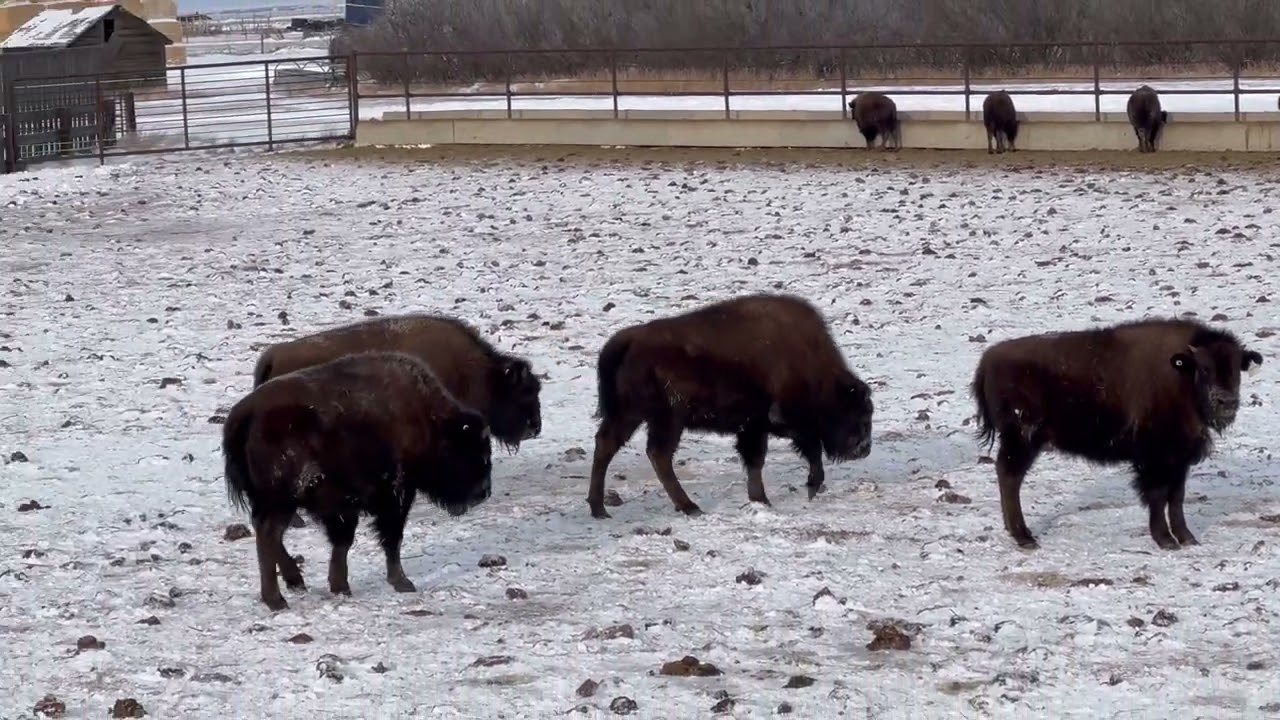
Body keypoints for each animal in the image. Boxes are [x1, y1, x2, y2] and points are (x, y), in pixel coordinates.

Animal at [222, 351, 494, 611]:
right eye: (473, 452)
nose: (484, 492)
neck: (428, 420)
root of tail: (244, 414)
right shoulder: (396, 496)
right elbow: (391, 540)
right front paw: (402, 582)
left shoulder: (343, 505)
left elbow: (343, 542)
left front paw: (340, 586)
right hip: (281, 500)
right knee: (269, 535)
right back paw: (276, 600)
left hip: (272, 501)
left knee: (268, 534)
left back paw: (294, 582)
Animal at [586, 294, 874, 519]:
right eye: (857, 413)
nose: (863, 448)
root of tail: (629, 340)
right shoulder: (777, 424)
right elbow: (802, 452)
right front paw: (806, 488)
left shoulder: (755, 427)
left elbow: (756, 461)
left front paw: (760, 499)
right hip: (664, 419)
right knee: (658, 454)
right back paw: (690, 507)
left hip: (631, 415)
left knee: (608, 445)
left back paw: (599, 509)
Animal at [971, 318, 1263, 551]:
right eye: (1204, 368)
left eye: (1237, 367)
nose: (1226, 401)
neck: (1181, 375)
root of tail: (988, 361)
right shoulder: (1155, 459)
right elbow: (1158, 495)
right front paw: (1165, 540)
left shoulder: (1178, 459)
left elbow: (1176, 497)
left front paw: (1187, 538)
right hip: (1022, 439)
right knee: (1010, 477)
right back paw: (1025, 537)